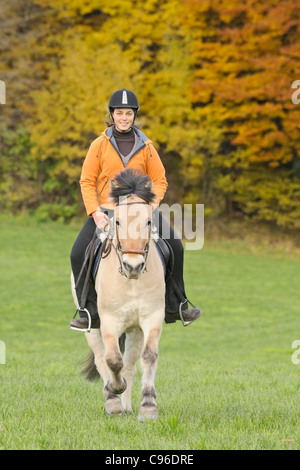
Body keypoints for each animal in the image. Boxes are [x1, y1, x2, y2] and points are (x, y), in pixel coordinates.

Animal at [72, 170, 166, 422]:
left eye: (149, 221)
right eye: (117, 221)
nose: (133, 265)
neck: (130, 281)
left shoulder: (152, 317)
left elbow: (148, 356)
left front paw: (148, 407)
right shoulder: (108, 320)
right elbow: (112, 359)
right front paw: (115, 388)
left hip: (134, 329)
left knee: (131, 363)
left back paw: (127, 407)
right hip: (92, 327)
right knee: (101, 358)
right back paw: (113, 402)